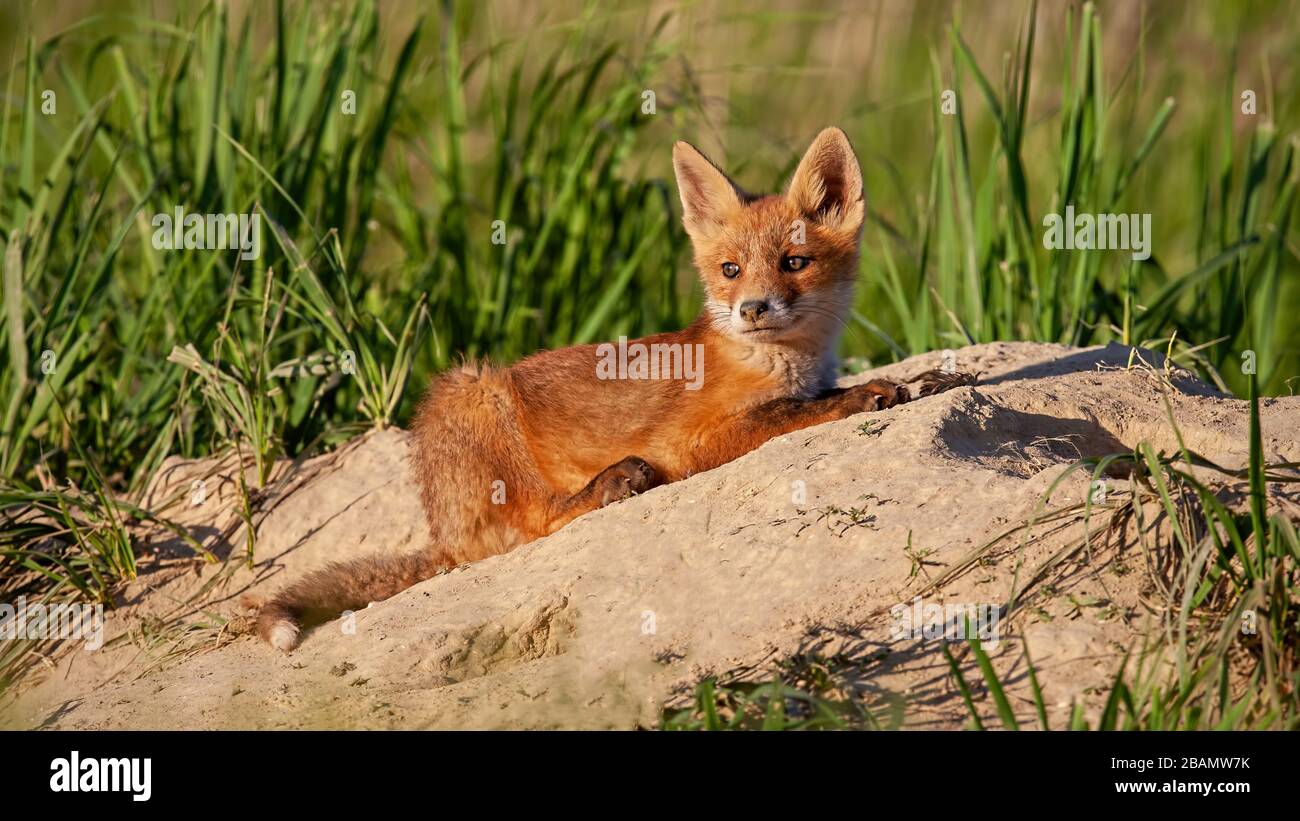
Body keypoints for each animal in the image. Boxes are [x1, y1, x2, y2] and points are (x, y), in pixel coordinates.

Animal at [256, 127, 967, 651]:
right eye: (731, 270)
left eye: (795, 263)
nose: (752, 309)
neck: (783, 363)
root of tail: (439, 528)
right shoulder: (693, 440)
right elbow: (794, 414)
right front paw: (864, 397)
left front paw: (925, 378)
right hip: (477, 390)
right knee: (540, 523)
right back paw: (612, 483)